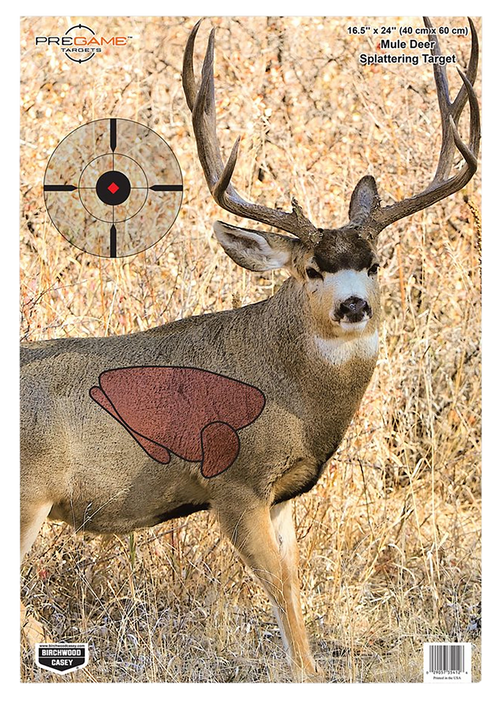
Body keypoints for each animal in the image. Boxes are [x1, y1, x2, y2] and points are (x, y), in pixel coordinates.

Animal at [18, 17, 480, 683]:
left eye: (372, 264)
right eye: (312, 269)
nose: (353, 306)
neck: (291, 393)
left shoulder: (282, 495)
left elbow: (293, 583)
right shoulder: (233, 484)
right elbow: (278, 587)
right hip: (28, 495)